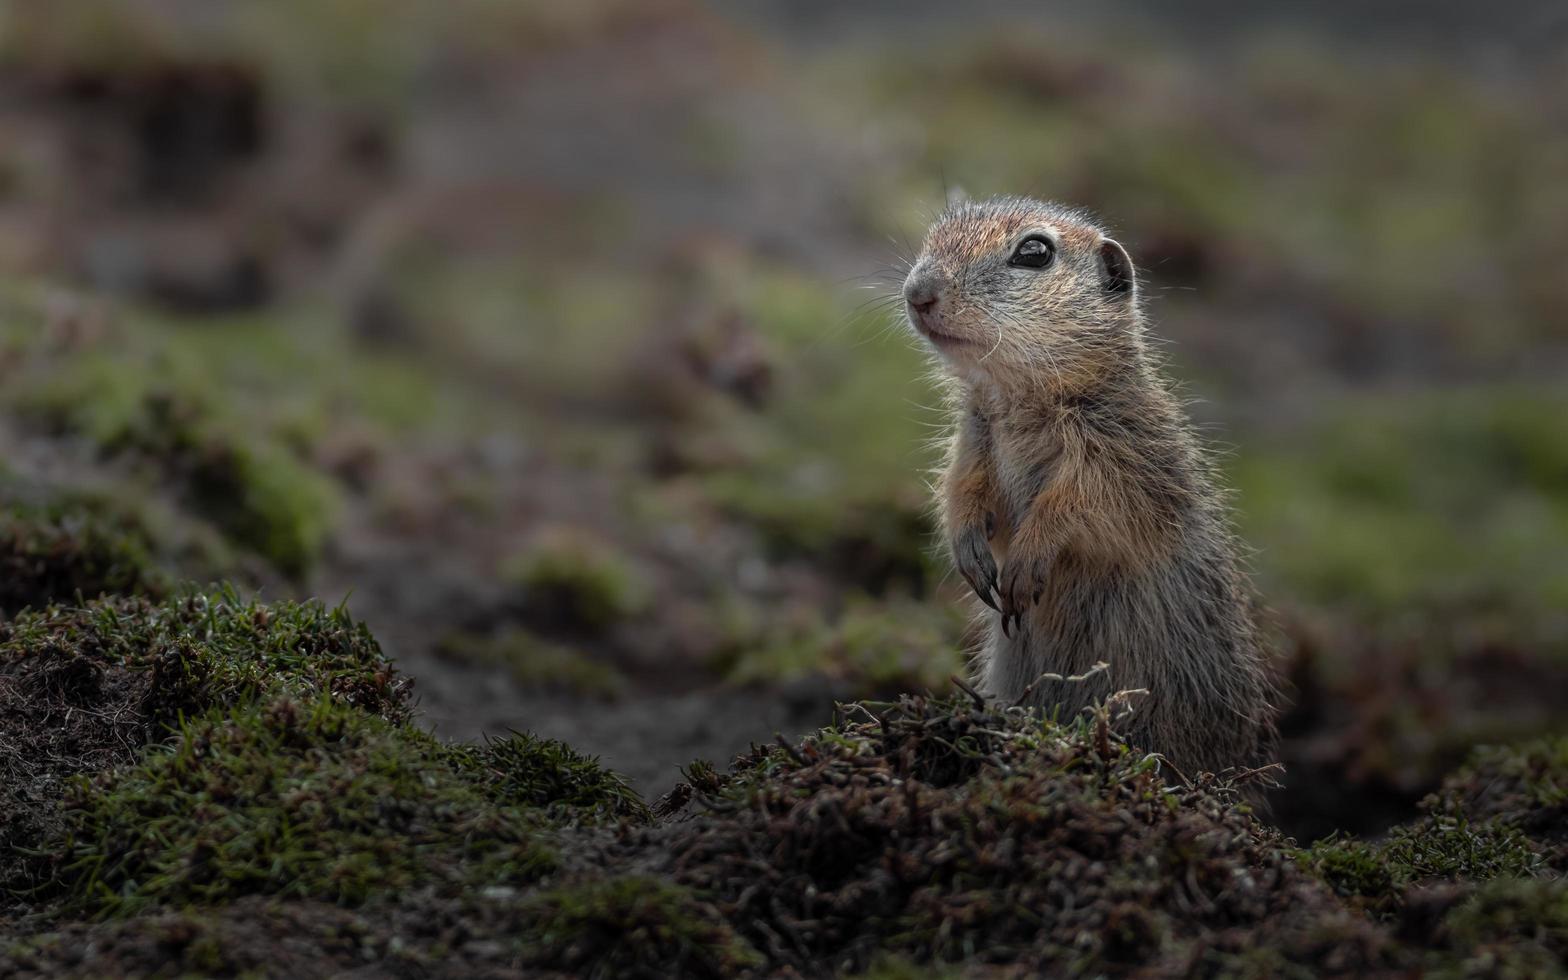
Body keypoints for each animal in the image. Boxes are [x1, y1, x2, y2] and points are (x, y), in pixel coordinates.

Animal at [903, 196, 1279, 780]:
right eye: (936, 233)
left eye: (1034, 252)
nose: (917, 293)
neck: (1017, 398)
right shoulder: (974, 438)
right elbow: (962, 489)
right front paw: (969, 550)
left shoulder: (1119, 458)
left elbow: (1079, 507)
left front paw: (1028, 559)